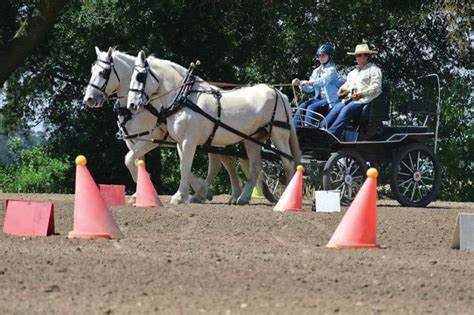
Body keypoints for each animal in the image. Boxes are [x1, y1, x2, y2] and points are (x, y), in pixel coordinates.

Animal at [82, 47, 244, 205]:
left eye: (104, 73)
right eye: (92, 70)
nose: (88, 99)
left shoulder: (152, 138)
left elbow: (129, 160)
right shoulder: (133, 140)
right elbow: (137, 162)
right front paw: (139, 194)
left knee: (224, 163)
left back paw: (227, 194)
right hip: (214, 139)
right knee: (223, 162)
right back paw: (214, 194)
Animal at [128, 51, 302, 206]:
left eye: (139, 76)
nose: (131, 105)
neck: (185, 98)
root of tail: (279, 93)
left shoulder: (189, 141)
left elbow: (185, 166)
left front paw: (179, 197)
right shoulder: (180, 141)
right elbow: (184, 165)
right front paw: (189, 195)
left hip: (279, 134)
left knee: (288, 163)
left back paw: (285, 198)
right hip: (254, 138)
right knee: (255, 167)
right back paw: (243, 198)